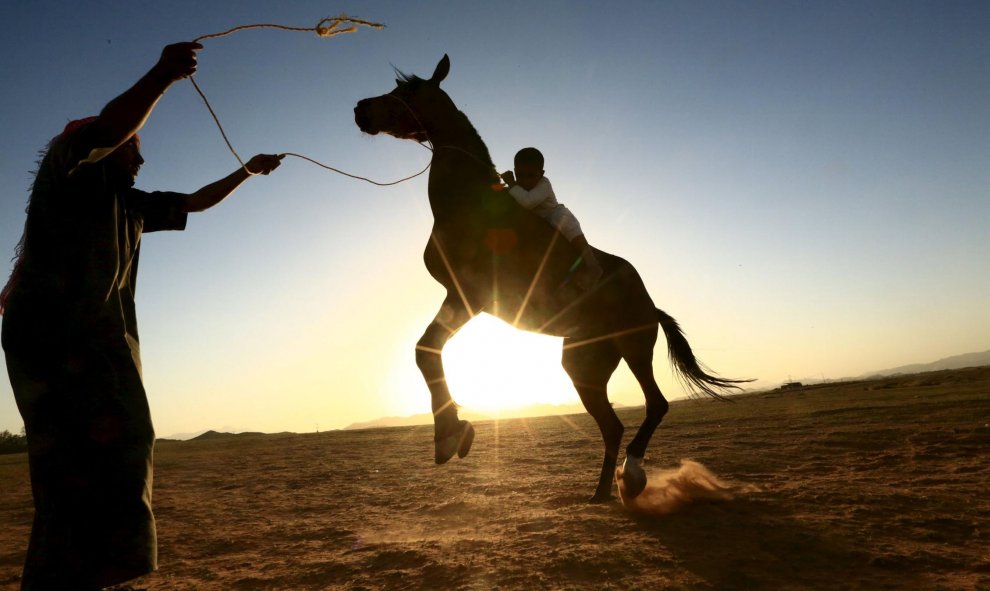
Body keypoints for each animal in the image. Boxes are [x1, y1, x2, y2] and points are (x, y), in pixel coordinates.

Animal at [352, 55, 748, 502]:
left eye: (409, 89)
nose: (361, 109)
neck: (473, 205)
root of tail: (650, 304)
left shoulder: (468, 296)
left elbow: (426, 350)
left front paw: (451, 434)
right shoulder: (458, 296)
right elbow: (426, 350)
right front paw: (451, 432)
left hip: (633, 348)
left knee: (655, 405)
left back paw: (631, 475)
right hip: (582, 364)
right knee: (612, 425)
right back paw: (602, 491)